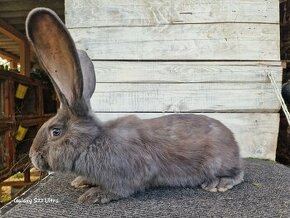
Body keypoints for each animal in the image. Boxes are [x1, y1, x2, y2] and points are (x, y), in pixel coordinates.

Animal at [27, 7, 244, 204]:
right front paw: (80, 181)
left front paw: (92, 195)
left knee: (239, 174)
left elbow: (120, 189)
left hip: (220, 162)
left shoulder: (129, 174)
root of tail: (234, 143)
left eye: (55, 132)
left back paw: (218, 183)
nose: (32, 156)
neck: (92, 141)